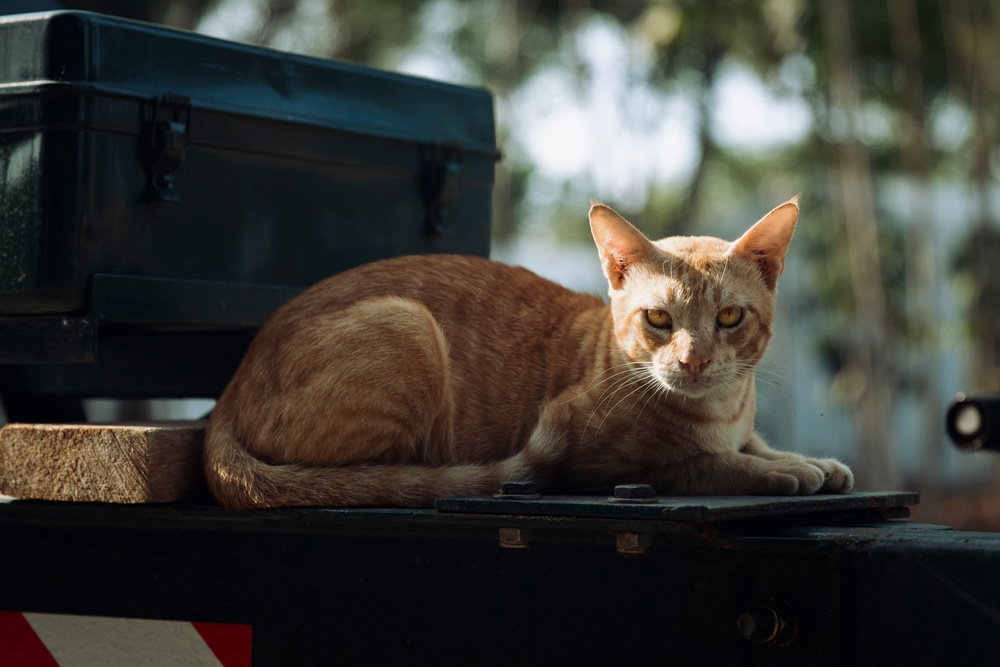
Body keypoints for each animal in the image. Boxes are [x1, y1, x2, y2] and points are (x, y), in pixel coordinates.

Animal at [203, 196, 852, 508]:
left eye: (730, 317)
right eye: (659, 319)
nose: (692, 362)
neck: (719, 409)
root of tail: (224, 398)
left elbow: (754, 443)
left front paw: (813, 461)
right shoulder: (600, 467)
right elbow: (704, 462)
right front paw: (783, 471)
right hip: (410, 323)